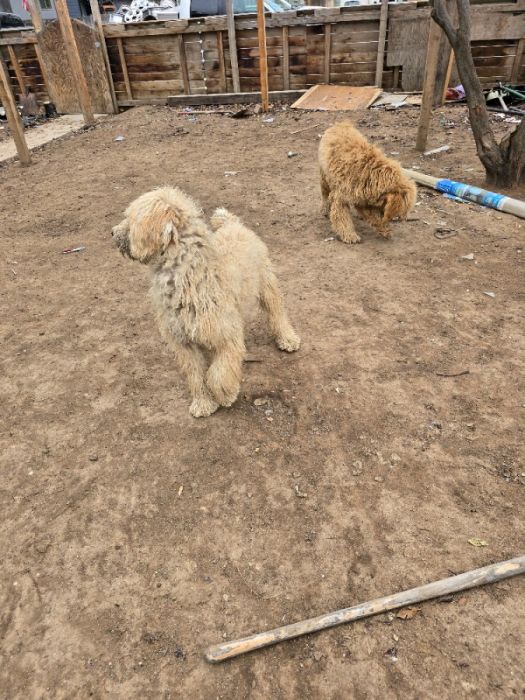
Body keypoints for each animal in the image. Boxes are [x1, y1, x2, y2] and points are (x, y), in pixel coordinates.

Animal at [111, 187, 298, 416]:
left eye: (130, 218)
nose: (112, 232)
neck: (185, 274)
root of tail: (232, 223)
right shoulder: (183, 343)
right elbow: (195, 375)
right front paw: (203, 403)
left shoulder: (226, 335)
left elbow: (219, 374)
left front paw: (225, 395)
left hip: (267, 282)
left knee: (277, 312)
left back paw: (287, 338)